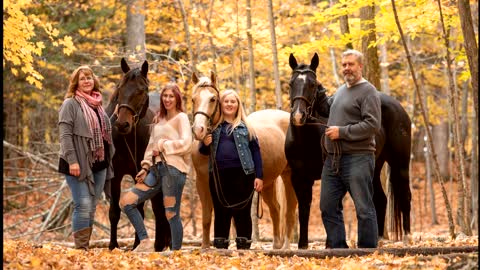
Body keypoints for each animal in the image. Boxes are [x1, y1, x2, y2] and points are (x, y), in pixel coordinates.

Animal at [104, 58, 171, 251]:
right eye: (120, 88)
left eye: (141, 91)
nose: (122, 124)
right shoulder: (115, 176)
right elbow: (114, 212)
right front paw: (113, 246)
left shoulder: (139, 174)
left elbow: (140, 210)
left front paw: (137, 244)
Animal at [190, 71, 296, 249]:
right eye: (193, 99)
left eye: (213, 99)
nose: (199, 130)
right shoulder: (202, 181)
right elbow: (206, 217)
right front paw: (205, 248)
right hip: (267, 183)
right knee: (275, 209)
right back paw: (276, 246)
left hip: (289, 176)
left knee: (289, 211)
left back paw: (286, 247)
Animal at [284, 52, 412, 249]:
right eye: (291, 84)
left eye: (312, 84)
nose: (298, 116)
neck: (306, 138)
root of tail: (398, 108)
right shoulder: (298, 177)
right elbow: (304, 208)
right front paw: (302, 245)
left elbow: (334, 204)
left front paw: (330, 244)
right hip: (375, 167)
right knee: (380, 199)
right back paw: (378, 240)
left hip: (401, 163)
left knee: (405, 195)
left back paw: (407, 237)